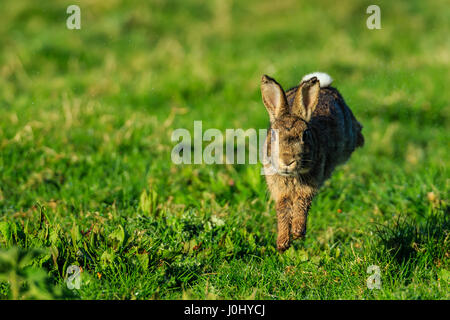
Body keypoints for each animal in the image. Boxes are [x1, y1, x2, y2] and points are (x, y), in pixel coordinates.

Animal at [260, 72, 362, 252]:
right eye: (273, 135)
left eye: (305, 135)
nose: (287, 160)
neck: (292, 176)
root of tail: (327, 87)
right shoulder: (280, 190)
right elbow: (283, 211)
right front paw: (283, 244)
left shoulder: (308, 187)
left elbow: (302, 204)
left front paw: (297, 233)